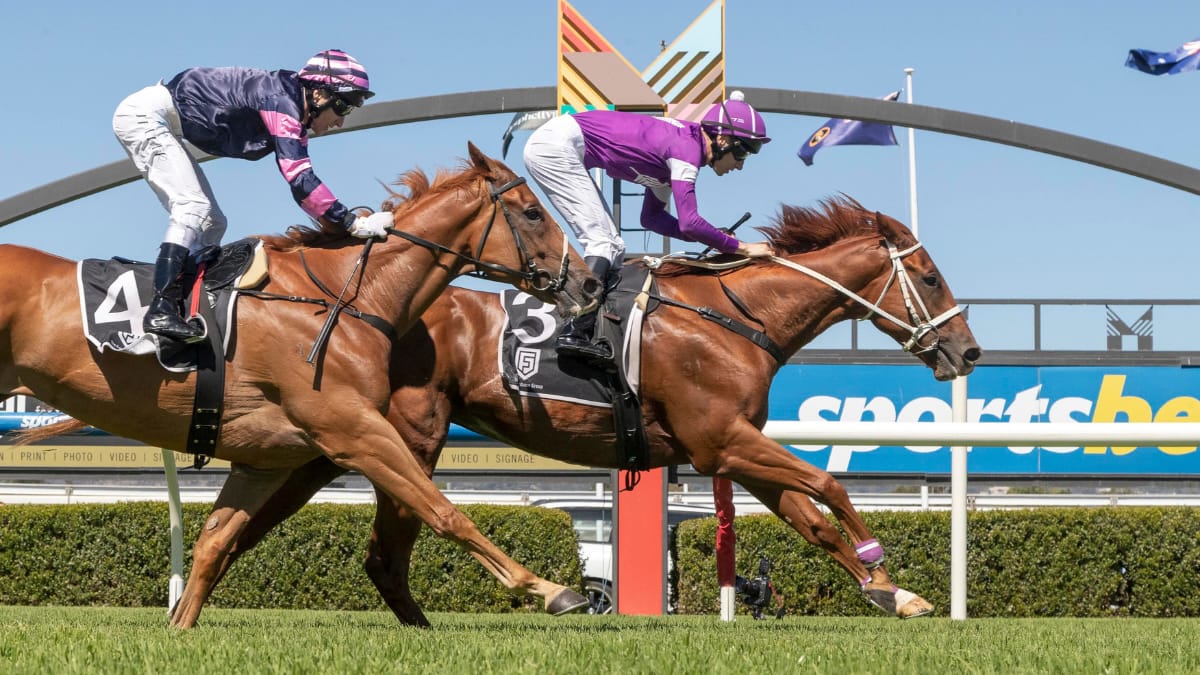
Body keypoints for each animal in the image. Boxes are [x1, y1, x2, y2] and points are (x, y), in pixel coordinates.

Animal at [0, 142, 603, 627]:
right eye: (532, 212)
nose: (588, 283)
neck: (348, 297)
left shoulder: (267, 459)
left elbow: (215, 541)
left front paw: (178, 628)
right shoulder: (355, 432)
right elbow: (445, 511)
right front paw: (553, 590)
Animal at [160, 195, 982, 625]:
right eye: (930, 279)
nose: (967, 352)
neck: (733, 317)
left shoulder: (734, 447)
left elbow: (811, 516)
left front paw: (889, 590)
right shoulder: (722, 438)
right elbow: (829, 483)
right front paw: (886, 573)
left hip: (330, 442)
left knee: (256, 526)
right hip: (399, 436)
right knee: (383, 547)